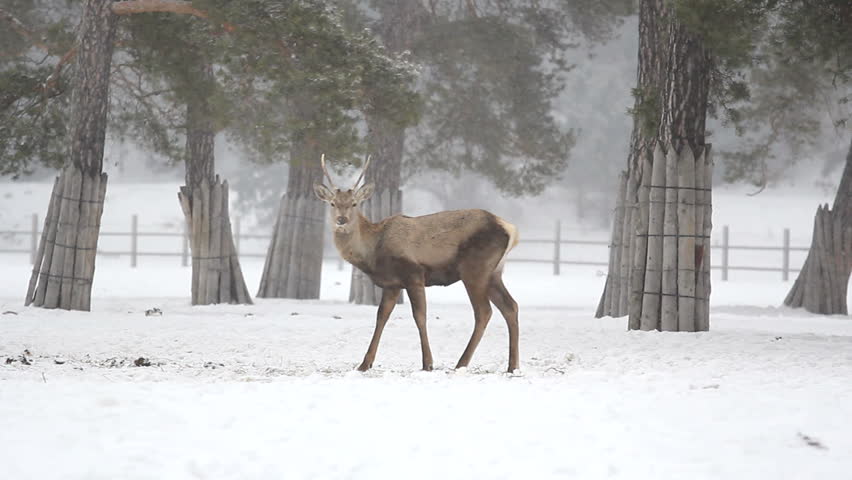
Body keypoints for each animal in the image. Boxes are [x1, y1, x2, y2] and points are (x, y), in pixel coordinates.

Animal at [313, 154, 521, 373]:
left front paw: (428, 363)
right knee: (510, 306)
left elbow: (420, 316)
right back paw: (512, 366)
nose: (341, 220)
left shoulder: (413, 275)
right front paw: (364, 364)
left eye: (354, 203)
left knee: (484, 311)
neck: (374, 251)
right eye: (333, 203)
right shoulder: (392, 284)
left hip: (475, 269)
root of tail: (511, 230)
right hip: (494, 272)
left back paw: (461, 363)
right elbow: (381, 317)